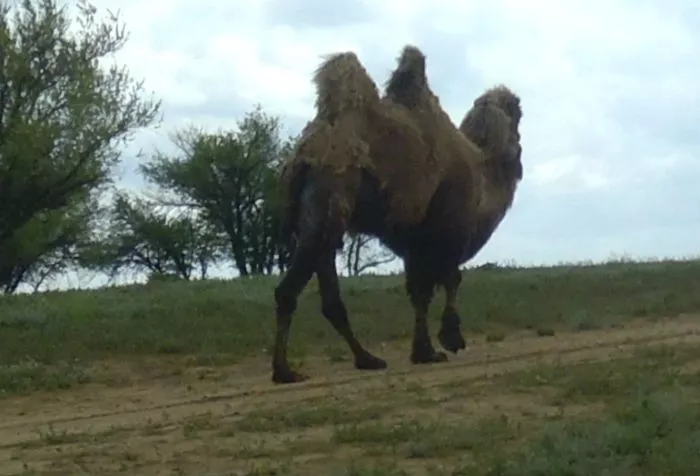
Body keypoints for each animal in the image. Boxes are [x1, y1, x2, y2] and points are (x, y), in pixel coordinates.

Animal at [270, 45, 524, 384]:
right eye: (518, 115)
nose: (518, 152)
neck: (484, 171)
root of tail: (305, 153)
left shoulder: (414, 241)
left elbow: (419, 292)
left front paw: (424, 351)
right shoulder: (447, 230)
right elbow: (450, 280)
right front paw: (449, 339)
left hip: (320, 216)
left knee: (330, 296)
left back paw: (366, 358)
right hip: (328, 201)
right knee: (288, 290)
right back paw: (284, 370)